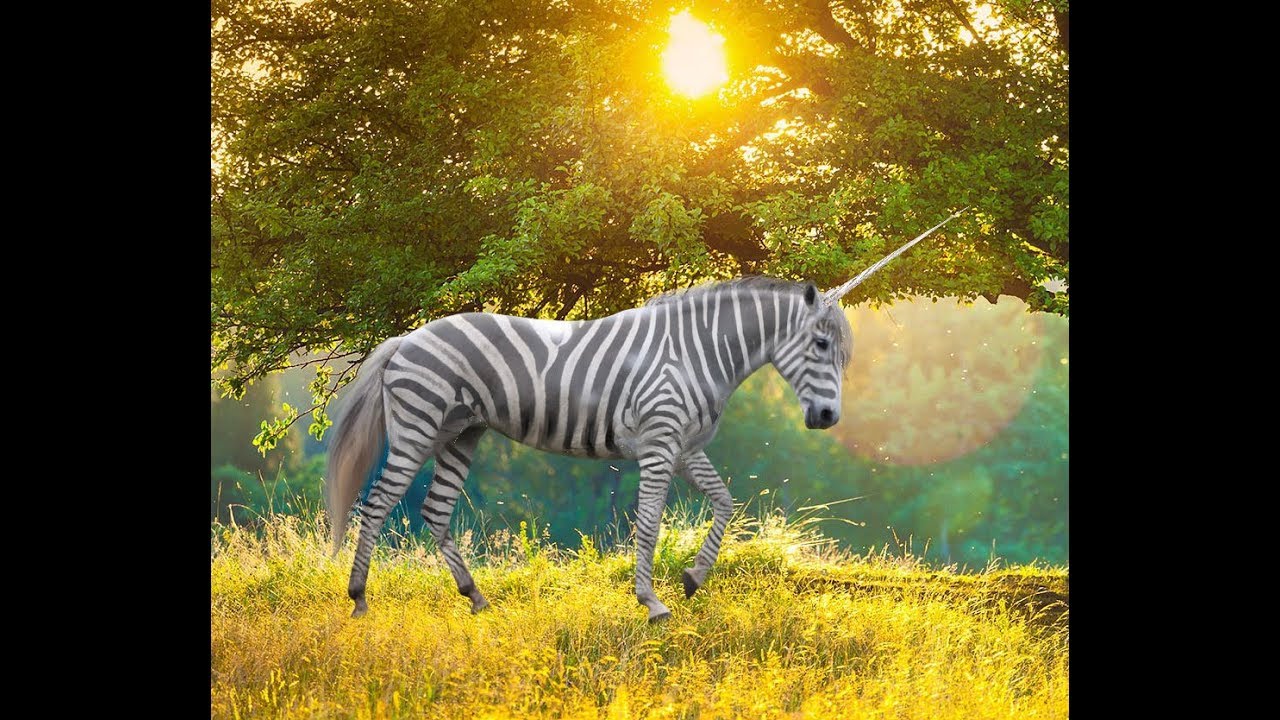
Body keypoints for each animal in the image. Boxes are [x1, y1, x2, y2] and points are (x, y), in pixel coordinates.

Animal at [327, 211, 964, 621]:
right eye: (821, 346)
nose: (828, 418)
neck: (702, 352)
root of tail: (407, 337)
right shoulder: (659, 444)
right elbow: (651, 521)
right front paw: (652, 603)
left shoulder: (687, 447)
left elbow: (726, 503)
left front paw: (693, 579)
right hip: (419, 424)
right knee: (376, 504)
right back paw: (358, 599)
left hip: (463, 431)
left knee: (435, 512)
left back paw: (476, 599)